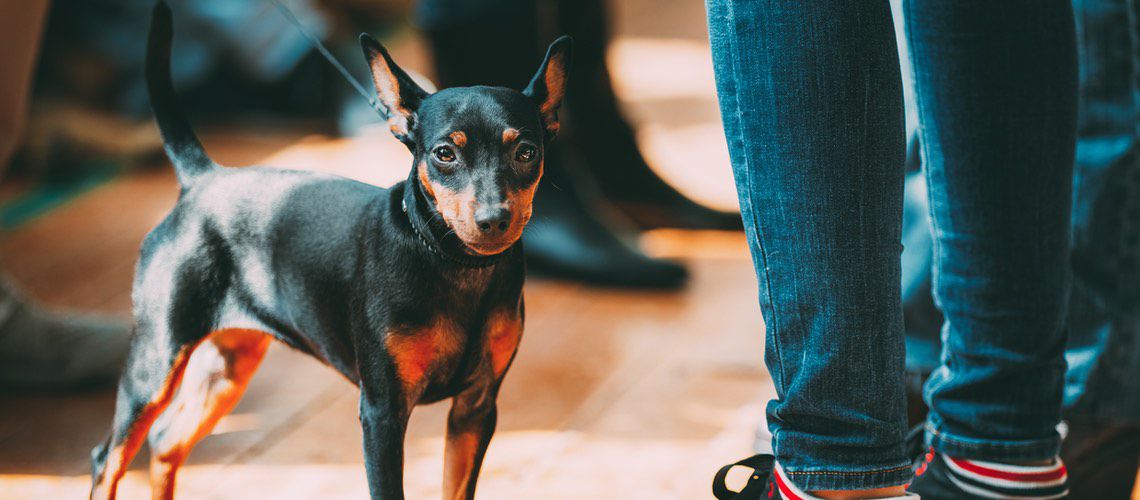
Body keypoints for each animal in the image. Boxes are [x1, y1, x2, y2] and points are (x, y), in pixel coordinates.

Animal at [91, 2, 570, 496]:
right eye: (444, 154)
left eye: (527, 152)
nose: (494, 219)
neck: (452, 264)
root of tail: (203, 178)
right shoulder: (382, 413)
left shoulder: (475, 407)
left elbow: (458, 488)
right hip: (155, 364)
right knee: (108, 458)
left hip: (229, 367)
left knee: (166, 442)